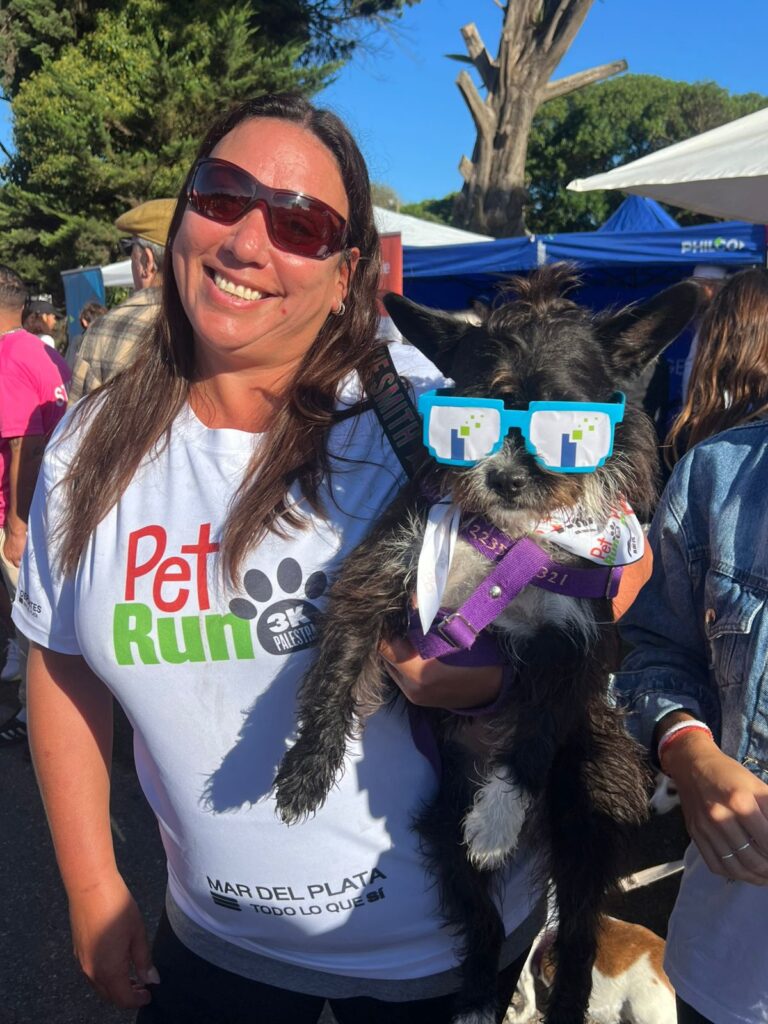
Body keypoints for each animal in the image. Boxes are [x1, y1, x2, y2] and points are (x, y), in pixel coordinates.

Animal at [273, 265, 700, 1024]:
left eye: (567, 425)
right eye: (468, 418)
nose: (502, 478)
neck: (511, 535)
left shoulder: (575, 644)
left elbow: (534, 734)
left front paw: (499, 815)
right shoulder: (383, 574)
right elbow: (336, 668)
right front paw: (307, 767)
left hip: (587, 809)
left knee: (580, 935)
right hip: (444, 828)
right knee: (481, 920)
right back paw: (473, 997)